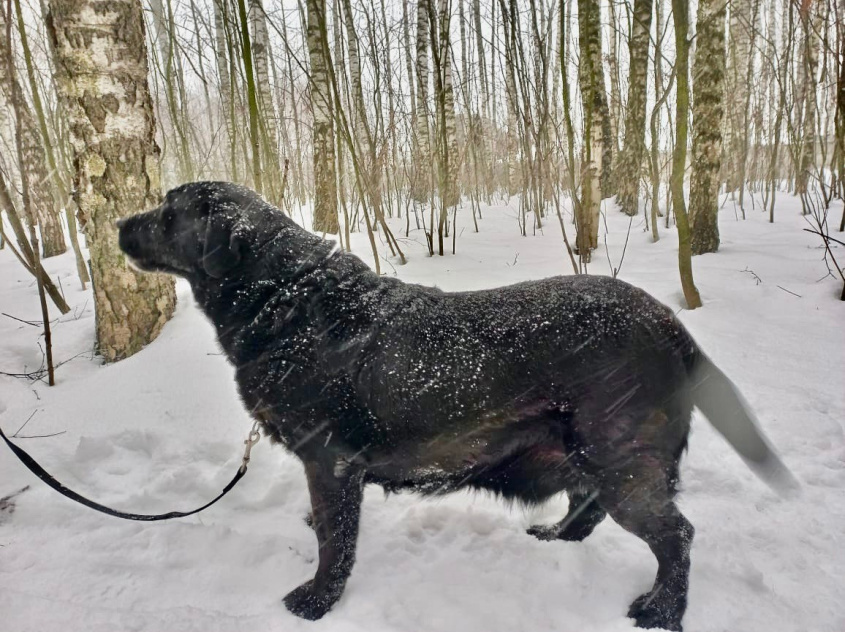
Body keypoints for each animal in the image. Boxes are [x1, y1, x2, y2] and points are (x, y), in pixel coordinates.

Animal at [117, 183, 792, 632]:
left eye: (168, 213)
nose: (120, 223)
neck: (289, 299)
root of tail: (671, 323)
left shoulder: (330, 461)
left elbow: (337, 541)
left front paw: (316, 600)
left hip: (621, 455)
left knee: (676, 534)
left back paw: (662, 610)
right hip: (587, 451)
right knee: (588, 507)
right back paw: (555, 538)